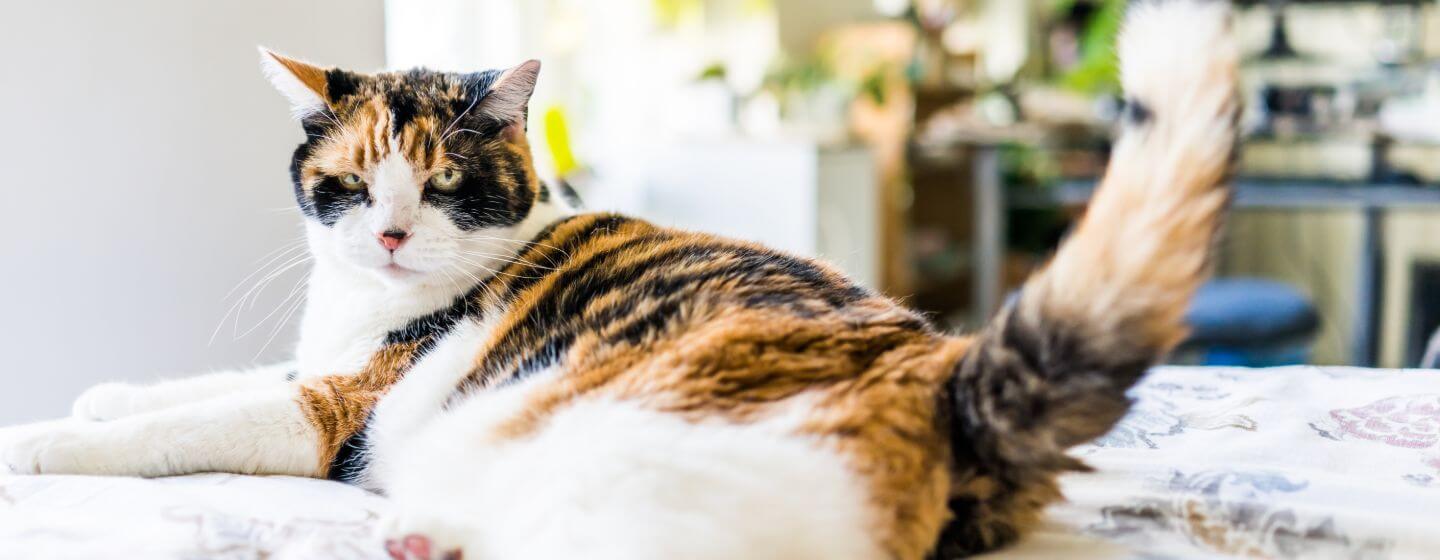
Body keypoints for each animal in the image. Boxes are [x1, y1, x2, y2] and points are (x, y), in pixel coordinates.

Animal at [0, 2, 1238, 555]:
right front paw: (96, 394)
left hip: (618, 455)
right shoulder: (321, 358)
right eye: (351, 183)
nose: (392, 234)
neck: (366, 307)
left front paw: (43, 441)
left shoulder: (333, 406)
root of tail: (947, 374)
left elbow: (195, 422)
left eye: (442, 183)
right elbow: (202, 382)